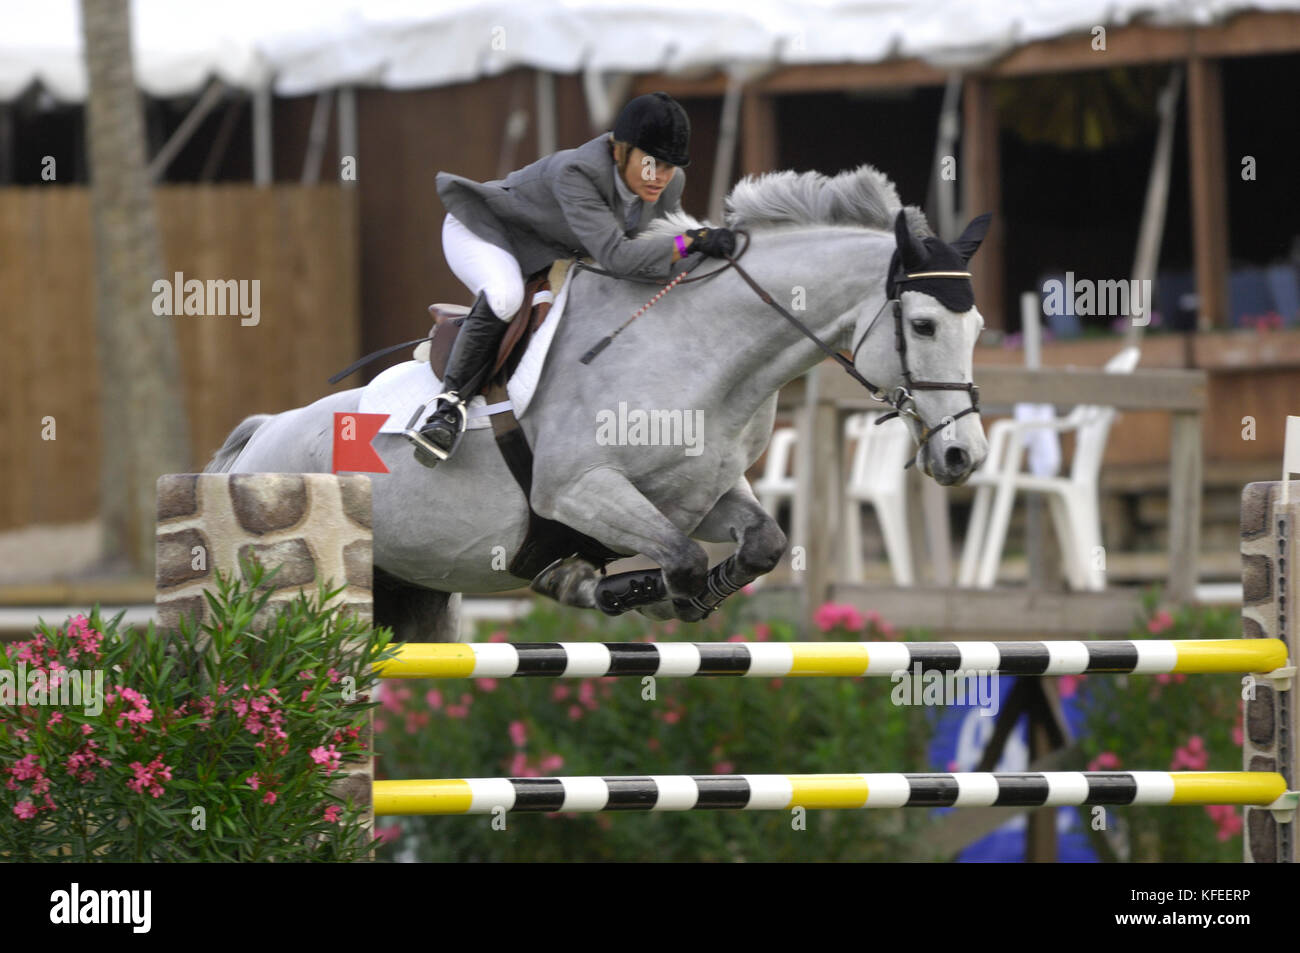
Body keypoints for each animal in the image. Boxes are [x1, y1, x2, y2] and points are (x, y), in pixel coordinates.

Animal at [208, 163, 987, 639]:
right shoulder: (579, 489)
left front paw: (659, 594)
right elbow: (679, 558)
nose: (963, 455)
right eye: (924, 325)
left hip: (411, 596)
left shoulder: (699, 491)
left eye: (978, 327)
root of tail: (259, 436)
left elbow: (761, 542)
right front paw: (605, 587)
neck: (705, 351)